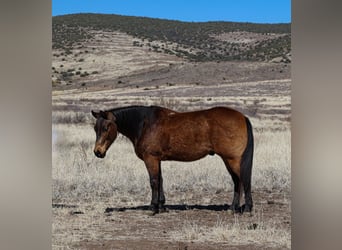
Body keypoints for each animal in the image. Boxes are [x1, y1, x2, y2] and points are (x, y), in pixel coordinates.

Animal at [91, 104, 254, 214]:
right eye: (95, 128)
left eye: (106, 127)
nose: (98, 152)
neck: (145, 124)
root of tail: (243, 117)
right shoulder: (157, 160)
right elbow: (160, 180)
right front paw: (162, 206)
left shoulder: (150, 159)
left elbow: (153, 181)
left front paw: (153, 207)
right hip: (229, 160)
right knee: (237, 182)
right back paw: (233, 208)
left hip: (232, 159)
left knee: (242, 180)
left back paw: (246, 208)